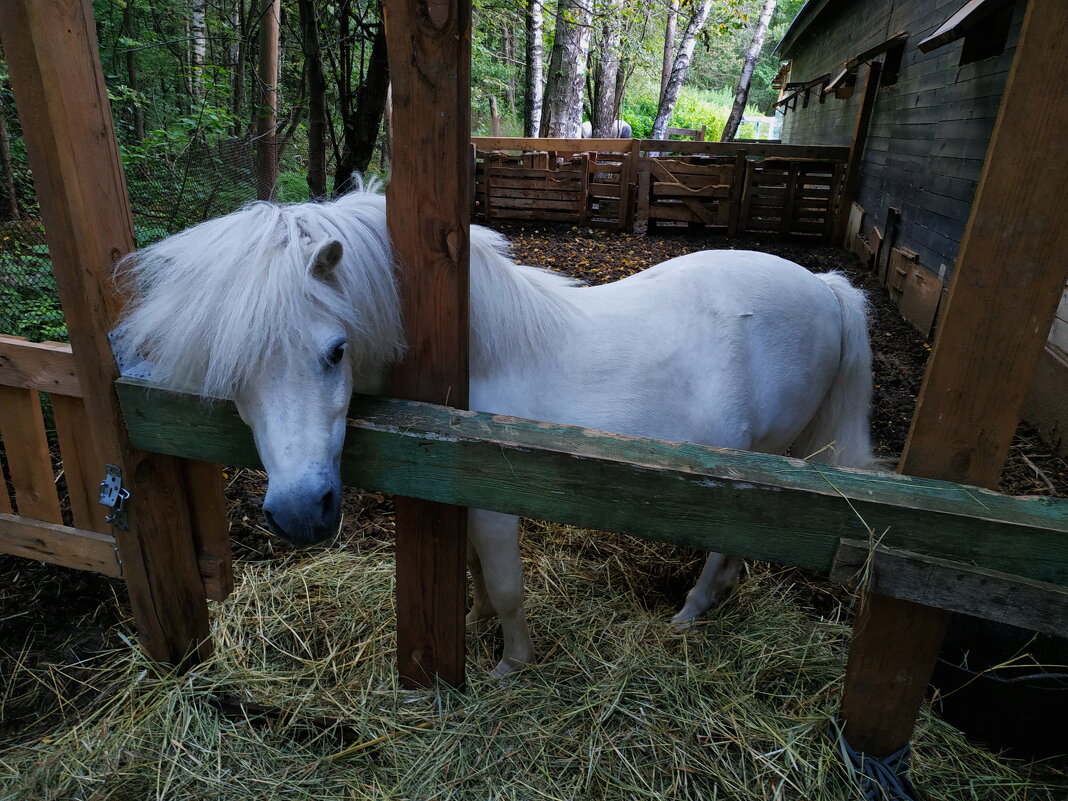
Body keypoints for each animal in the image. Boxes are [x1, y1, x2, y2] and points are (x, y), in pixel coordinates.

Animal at [114, 187, 875, 679]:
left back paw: (687, 613)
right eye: (232, 372)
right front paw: (477, 623)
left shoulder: (494, 505)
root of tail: (828, 287)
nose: (303, 512)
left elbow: (507, 584)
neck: (481, 354)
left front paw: (511, 664)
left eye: (335, 350)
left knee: (722, 551)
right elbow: (478, 574)